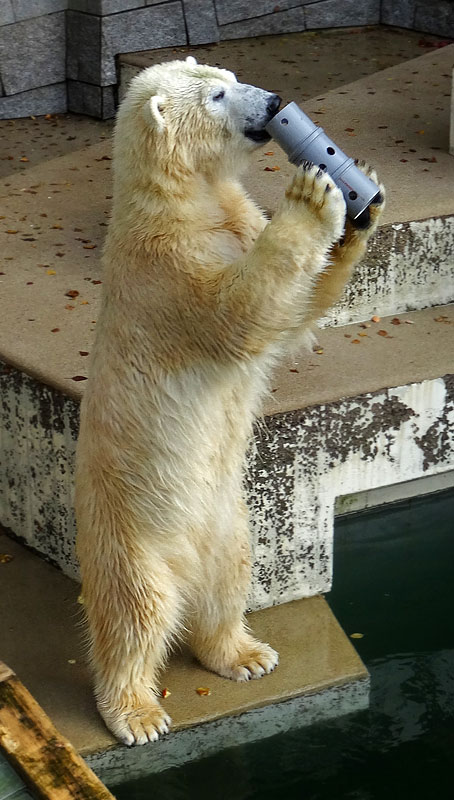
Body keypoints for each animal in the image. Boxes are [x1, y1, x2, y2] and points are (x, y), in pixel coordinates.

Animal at [74, 57, 384, 752]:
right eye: (218, 93)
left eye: (232, 75)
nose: (272, 101)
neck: (183, 199)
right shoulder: (166, 267)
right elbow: (240, 312)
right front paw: (313, 196)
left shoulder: (231, 219)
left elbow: (296, 316)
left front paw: (362, 199)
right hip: (128, 533)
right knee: (136, 616)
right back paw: (136, 713)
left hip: (230, 523)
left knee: (229, 583)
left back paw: (245, 654)